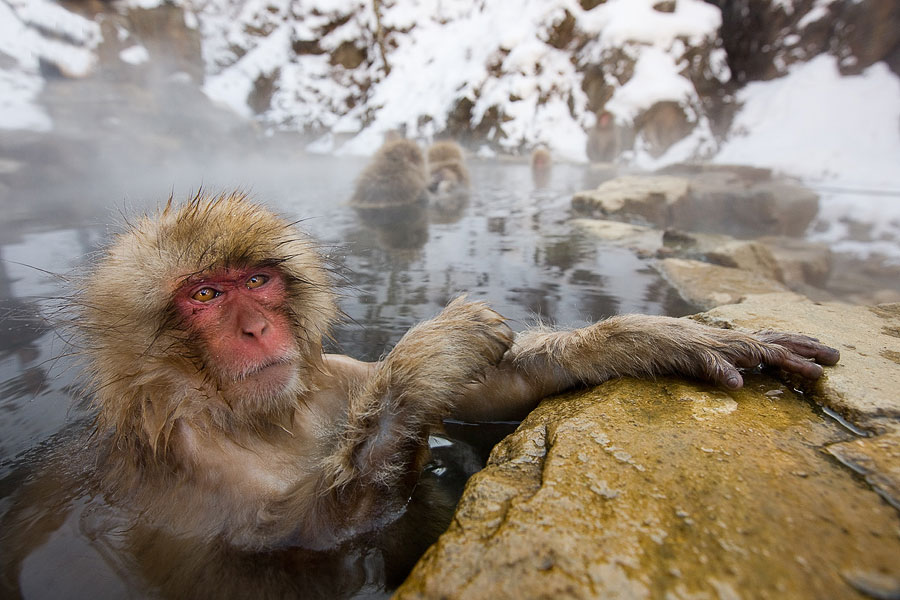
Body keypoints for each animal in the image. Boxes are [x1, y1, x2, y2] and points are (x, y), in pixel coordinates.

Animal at [1, 195, 844, 596]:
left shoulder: (332, 378)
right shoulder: (181, 464)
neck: (262, 420)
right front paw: (425, 360)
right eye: (205, 295)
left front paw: (641, 340)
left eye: (258, 281)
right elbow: (305, 538)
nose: (255, 328)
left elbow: (488, 391)